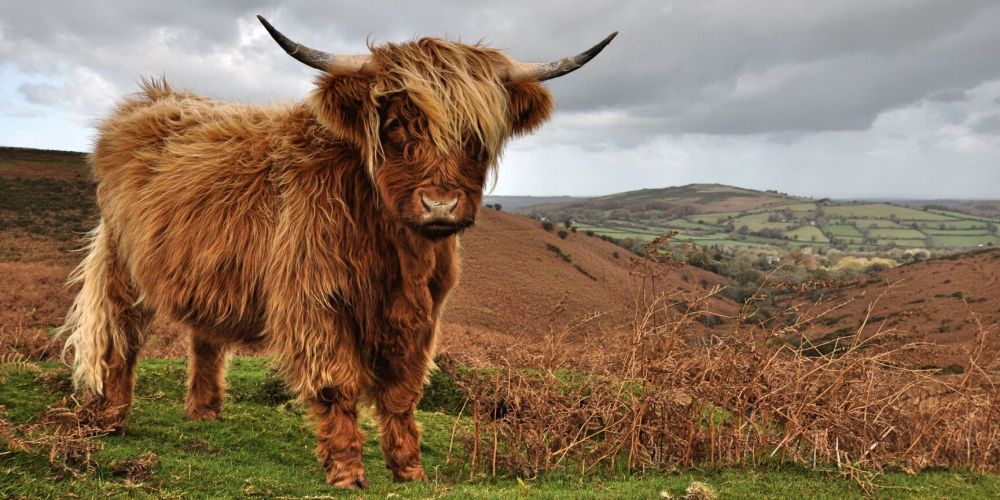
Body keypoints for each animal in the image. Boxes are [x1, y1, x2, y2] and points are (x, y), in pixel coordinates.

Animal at [61, 15, 615, 488]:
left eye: (476, 134)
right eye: (395, 124)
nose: (440, 203)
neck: (395, 249)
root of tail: (149, 100)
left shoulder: (421, 315)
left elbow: (402, 393)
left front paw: (410, 469)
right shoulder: (315, 300)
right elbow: (335, 385)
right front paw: (348, 471)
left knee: (206, 337)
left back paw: (204, 414)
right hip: (122, 262)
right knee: (120, 336)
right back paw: (111, 419)